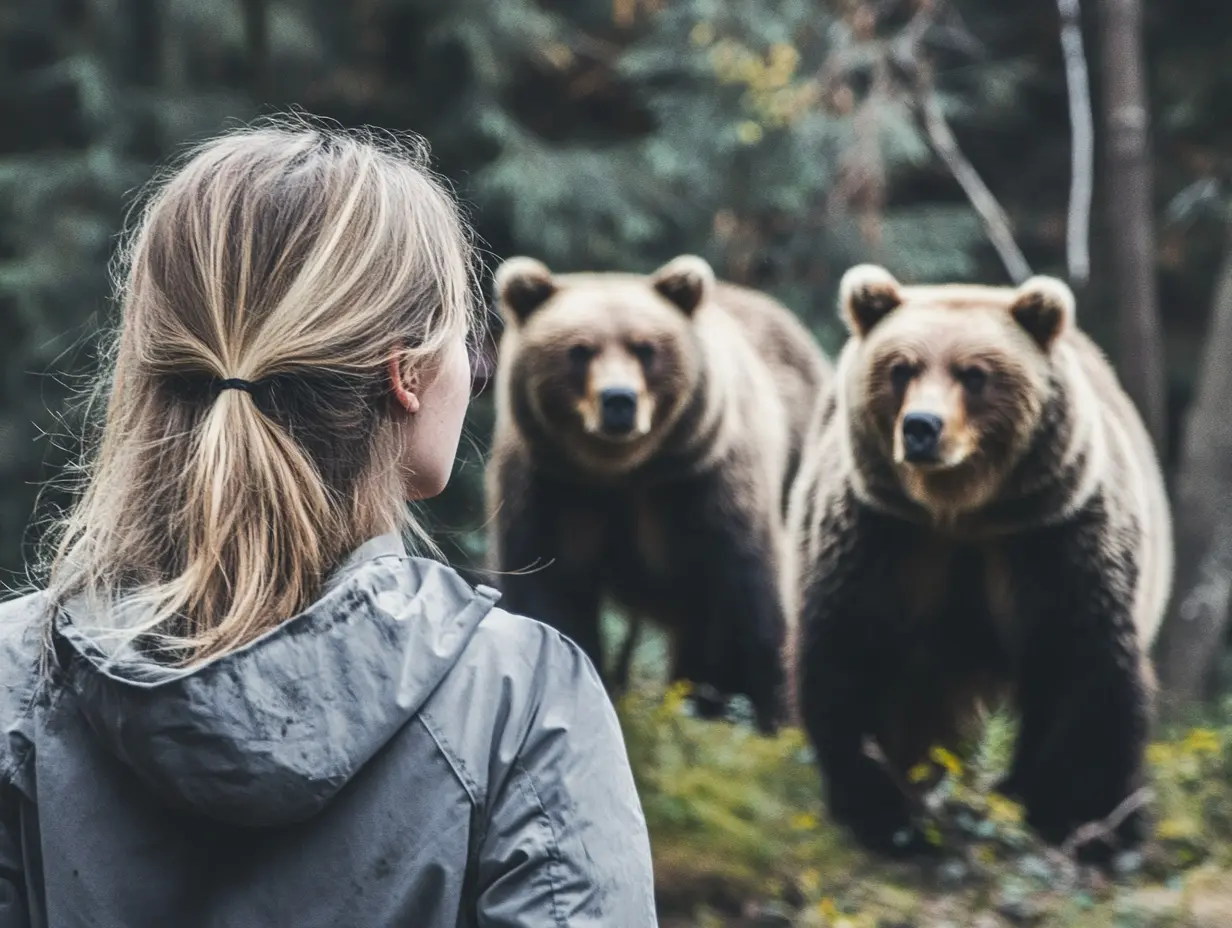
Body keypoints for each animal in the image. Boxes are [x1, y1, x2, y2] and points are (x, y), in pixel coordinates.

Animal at [486, 253, 833, 734]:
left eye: (645, 348)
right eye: (579, 350)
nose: (618, 400)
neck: (625, 473)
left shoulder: (704, 485)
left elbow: (753, 600)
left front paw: (777, 723)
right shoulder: (554, 488)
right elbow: (550, 588)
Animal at [785, 264, 1173, 862]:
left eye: (973, 374)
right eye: (901, 368)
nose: (921, 426)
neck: (961, 510)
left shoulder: (1052, 539)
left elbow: (1084, 670)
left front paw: (1080, 822)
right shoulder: (883, 537)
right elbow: (853, 660)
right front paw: (883, 813)